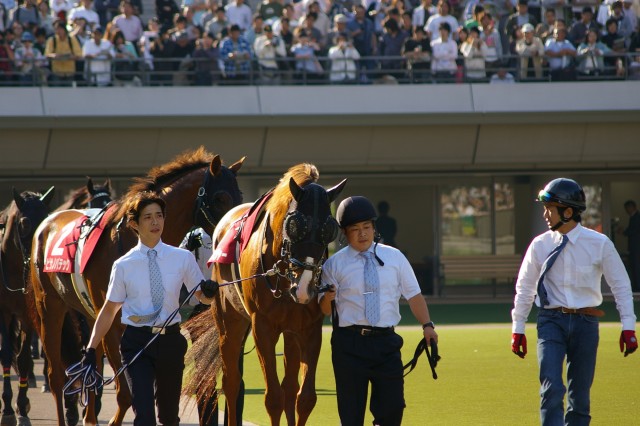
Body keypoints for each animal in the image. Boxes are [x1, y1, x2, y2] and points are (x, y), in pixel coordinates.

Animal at [27, 147, 244, 426]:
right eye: (220, 197)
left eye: (240, 196)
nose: (234, 230)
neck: (134, 239)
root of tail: (47, 222)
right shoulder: (114, 324)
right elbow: (128, 392)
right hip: (49, 306)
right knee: (57, 376)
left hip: (89, 313)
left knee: (90, 367)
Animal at [182, 164, 348, 426]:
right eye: (295, 225)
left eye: (329, 228)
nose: (305, 288)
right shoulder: (262, 326)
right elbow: (273, 398)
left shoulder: (310, 328)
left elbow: (305, 398)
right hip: (229, 320)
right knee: (232, 382)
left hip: (290, 330)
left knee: (290, 387)